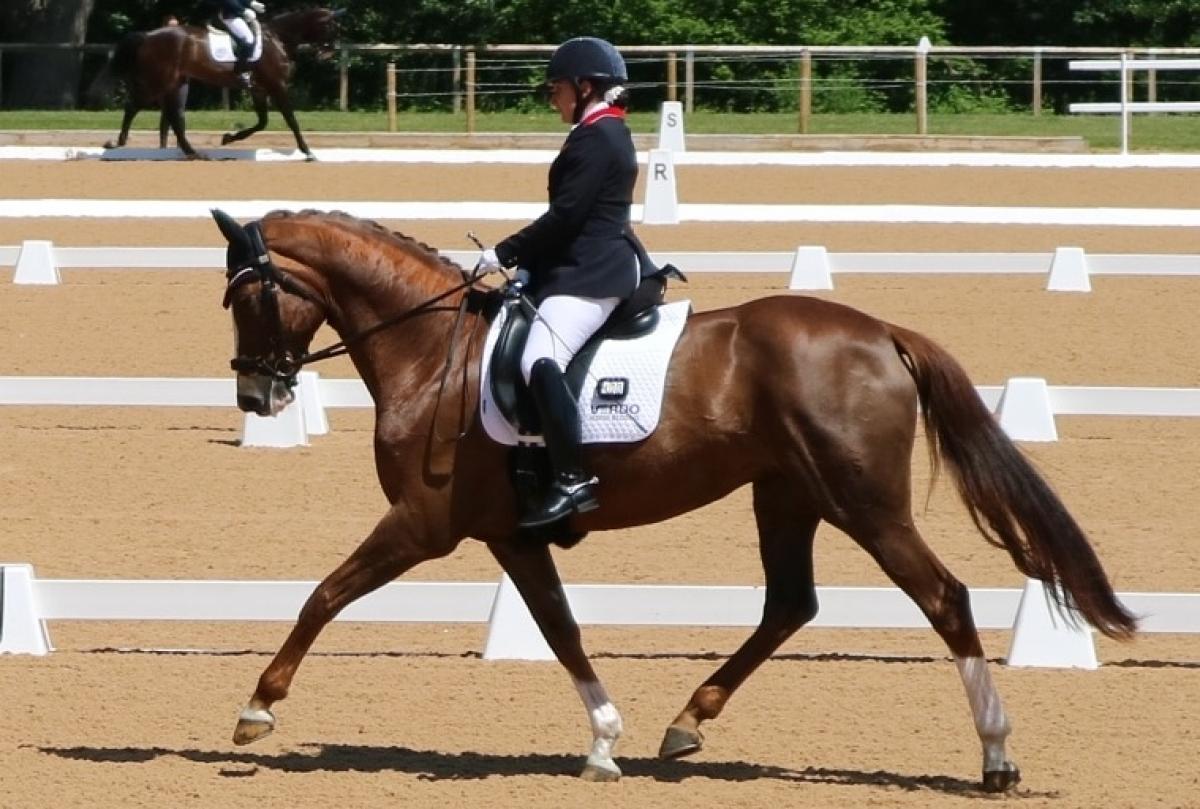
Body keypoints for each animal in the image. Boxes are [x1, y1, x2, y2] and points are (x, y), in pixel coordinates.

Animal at [90, 7, 338, 159]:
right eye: (331, 27)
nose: (327, 54)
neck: (277, 38)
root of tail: (148, 35)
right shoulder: (277, 86)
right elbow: (291, 120)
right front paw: (307, 151)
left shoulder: (259, 89)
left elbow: (262, 122)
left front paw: (229, 138)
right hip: (158, 82)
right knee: (134, 106)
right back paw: (117, 143)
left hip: (173, 83)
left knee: (172, 116)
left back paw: (193, 152)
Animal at [211, 206, 1137, 787]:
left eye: (248, 293)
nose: (258, 395)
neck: (431, 347)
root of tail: (881, 332)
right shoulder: (512, 533)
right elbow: (559, 627)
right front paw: (603, 742)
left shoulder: (421, 523)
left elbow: (323, 594)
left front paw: (256, 708)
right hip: (786, 494)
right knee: (790, 603)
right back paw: (689, 719)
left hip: (864, 503)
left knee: (943, 597)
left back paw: (995, 756)